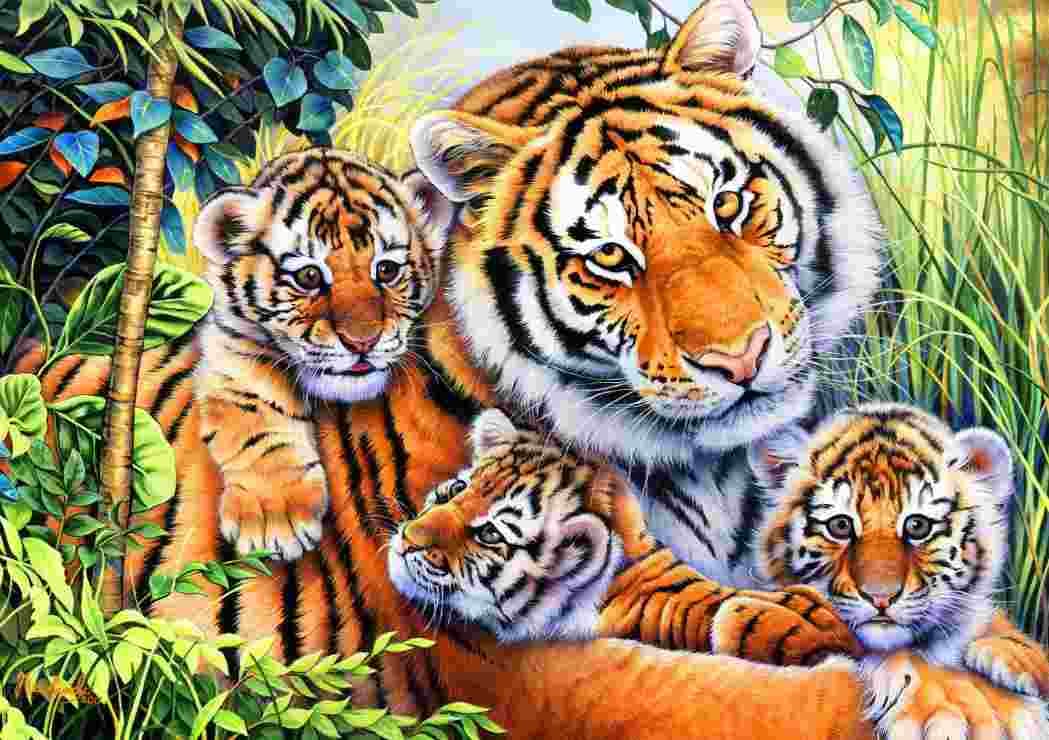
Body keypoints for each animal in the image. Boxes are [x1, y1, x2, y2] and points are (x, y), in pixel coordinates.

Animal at [191, 148, 454, 560]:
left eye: (387, 270)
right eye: (309, 277)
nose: (362, 341)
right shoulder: (232, 348)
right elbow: (255, 419)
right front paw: (273, 519)